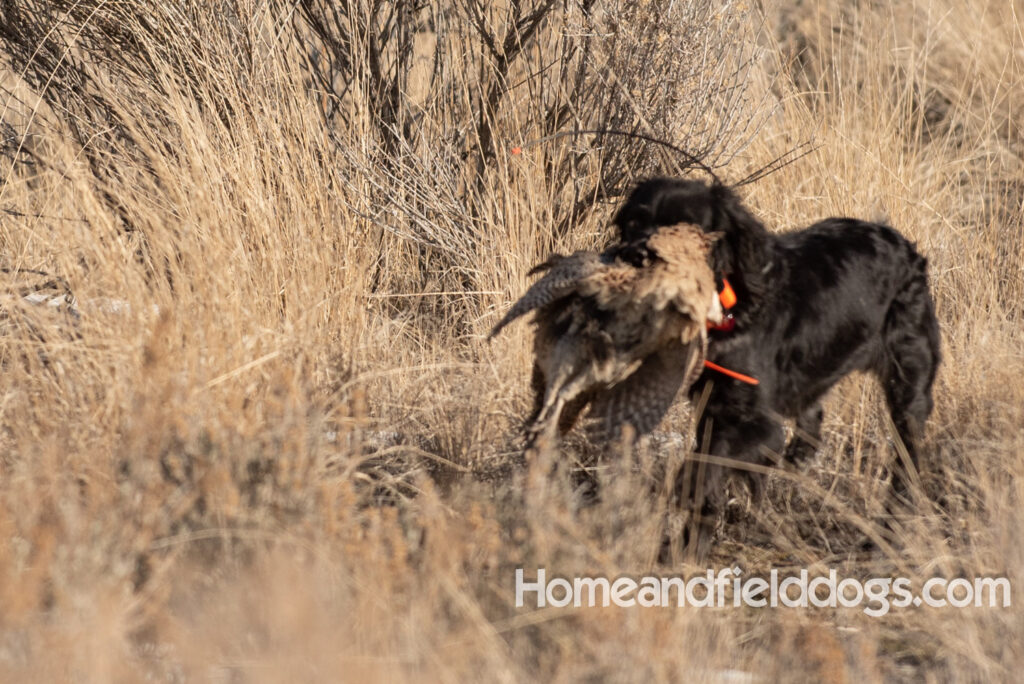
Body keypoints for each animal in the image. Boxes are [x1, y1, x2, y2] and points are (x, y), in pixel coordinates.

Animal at [610, 180, 937, 540]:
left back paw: (892, 519)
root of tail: (898, 240)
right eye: (634, 223)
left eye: (684, 232)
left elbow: (708, 464)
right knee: (812, 414)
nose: (636, 256)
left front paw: (687, 494)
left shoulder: (754, 420)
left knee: (907, 451)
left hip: (908, 380)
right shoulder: (712, 405)